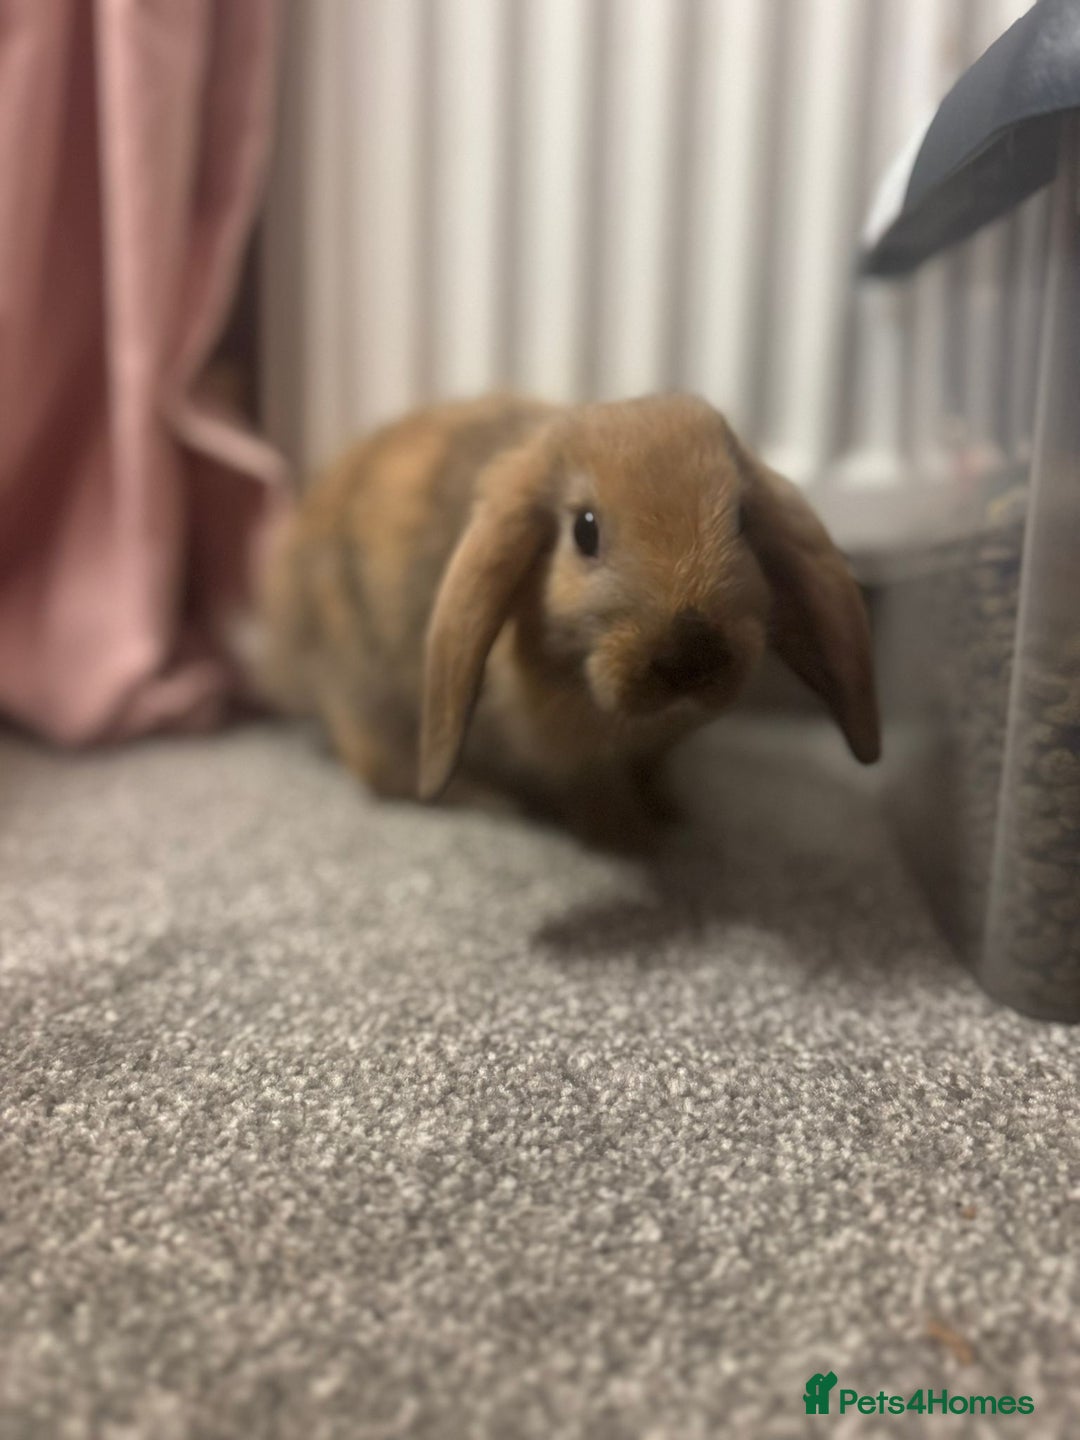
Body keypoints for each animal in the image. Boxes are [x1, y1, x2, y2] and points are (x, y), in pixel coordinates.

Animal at [256, 393, 880, 847]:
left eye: (744, 521)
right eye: (584, 530)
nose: (690, 653)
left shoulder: (653, 752)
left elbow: (653, 775)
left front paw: (672, 814)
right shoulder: (569, 762)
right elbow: (596, 795)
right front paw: (632, 838)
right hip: (363, 694)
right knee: (380, 770)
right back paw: (483, 799)